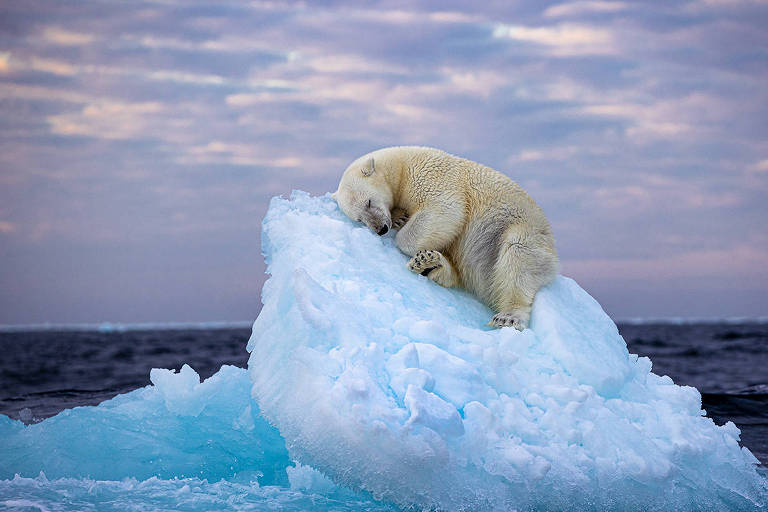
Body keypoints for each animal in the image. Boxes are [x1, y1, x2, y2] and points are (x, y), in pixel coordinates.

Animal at [330, 146, 560, 330]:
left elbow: (446, 210)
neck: (402, 165)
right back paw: (429, 263)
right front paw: (399, 217)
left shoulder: (431, 176)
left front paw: (402, 229)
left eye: (368, 202)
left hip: (521, 231)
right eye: (359, 219)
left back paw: (508, 317)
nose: (381, 229)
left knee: (518, 256)